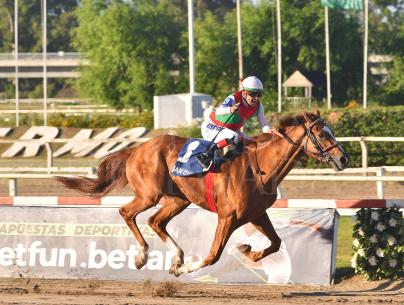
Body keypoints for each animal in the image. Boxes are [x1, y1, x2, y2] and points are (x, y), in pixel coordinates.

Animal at [55, 111, 348, 276]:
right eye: (321, 133)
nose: (343, 158)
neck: (261, 167)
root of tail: (138, 148)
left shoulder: (256, 214)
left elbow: (276, 243)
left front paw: (247, 250)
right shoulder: (228, 217)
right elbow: (213, 255)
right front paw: (186, 269)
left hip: (178, 199)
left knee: (155, 221)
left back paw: (176, 257)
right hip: (149, 194)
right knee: (127, 212)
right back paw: (143, 256)